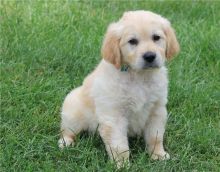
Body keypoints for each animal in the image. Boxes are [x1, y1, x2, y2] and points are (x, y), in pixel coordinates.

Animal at [58, 10, 179, 167]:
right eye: (132, 41)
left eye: (156, 38)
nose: (150, 56)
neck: (139, 76)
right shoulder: (114, 115)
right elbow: (119, 144)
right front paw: (121, 164)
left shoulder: (156, 110)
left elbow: (155, 136)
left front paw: (158, 155)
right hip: (73, 113)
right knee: (67, 130)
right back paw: (66, 142)